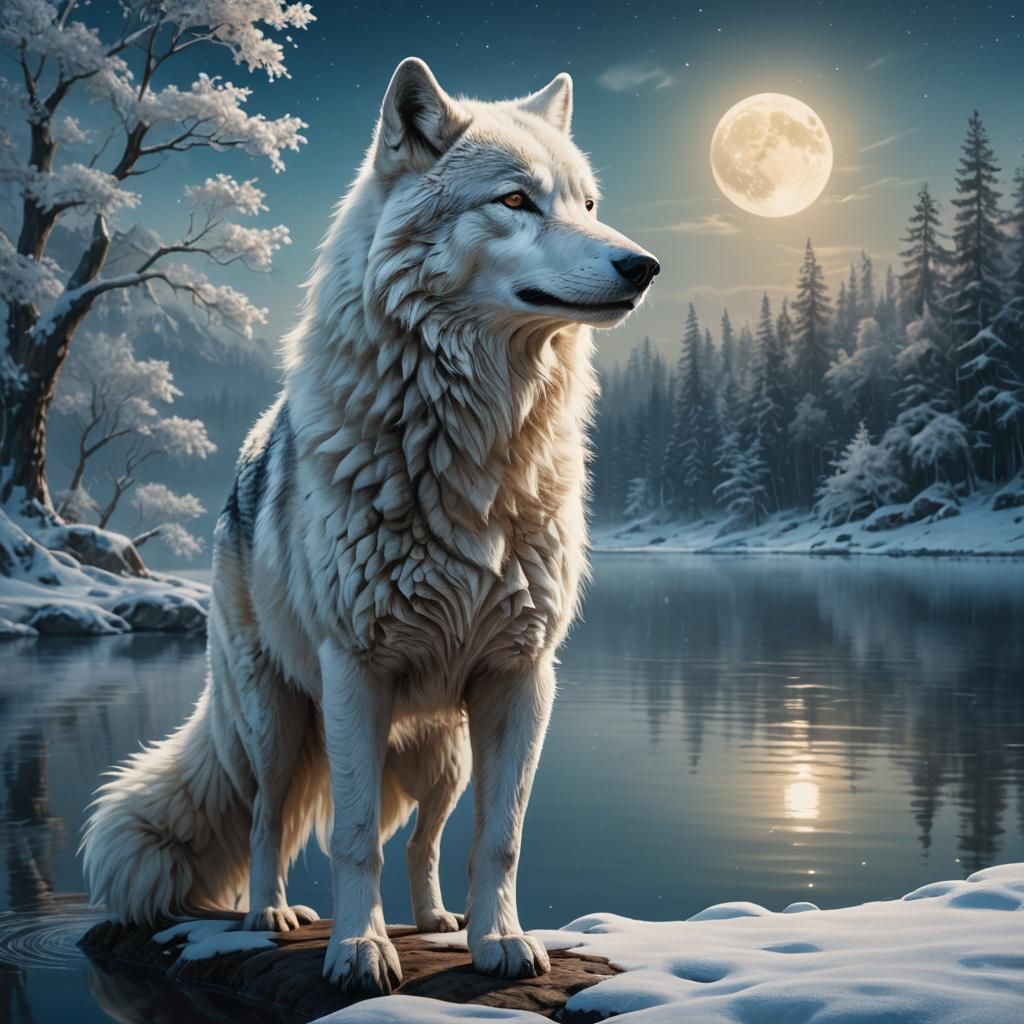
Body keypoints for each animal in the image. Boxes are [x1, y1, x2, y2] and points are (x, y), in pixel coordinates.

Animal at [81, 57, 658, 995]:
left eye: (588, 203)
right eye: (515, 200)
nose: (642, 265)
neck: (474, 450)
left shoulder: (521, 678)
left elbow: (500, 840)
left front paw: (500, 943)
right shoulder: (355, 671)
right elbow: (352, 839)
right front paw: (358, 950)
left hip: (442, 754)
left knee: (426, 841)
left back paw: (436, 921)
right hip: (277, 723)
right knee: (266, 820)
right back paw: (270, 916)